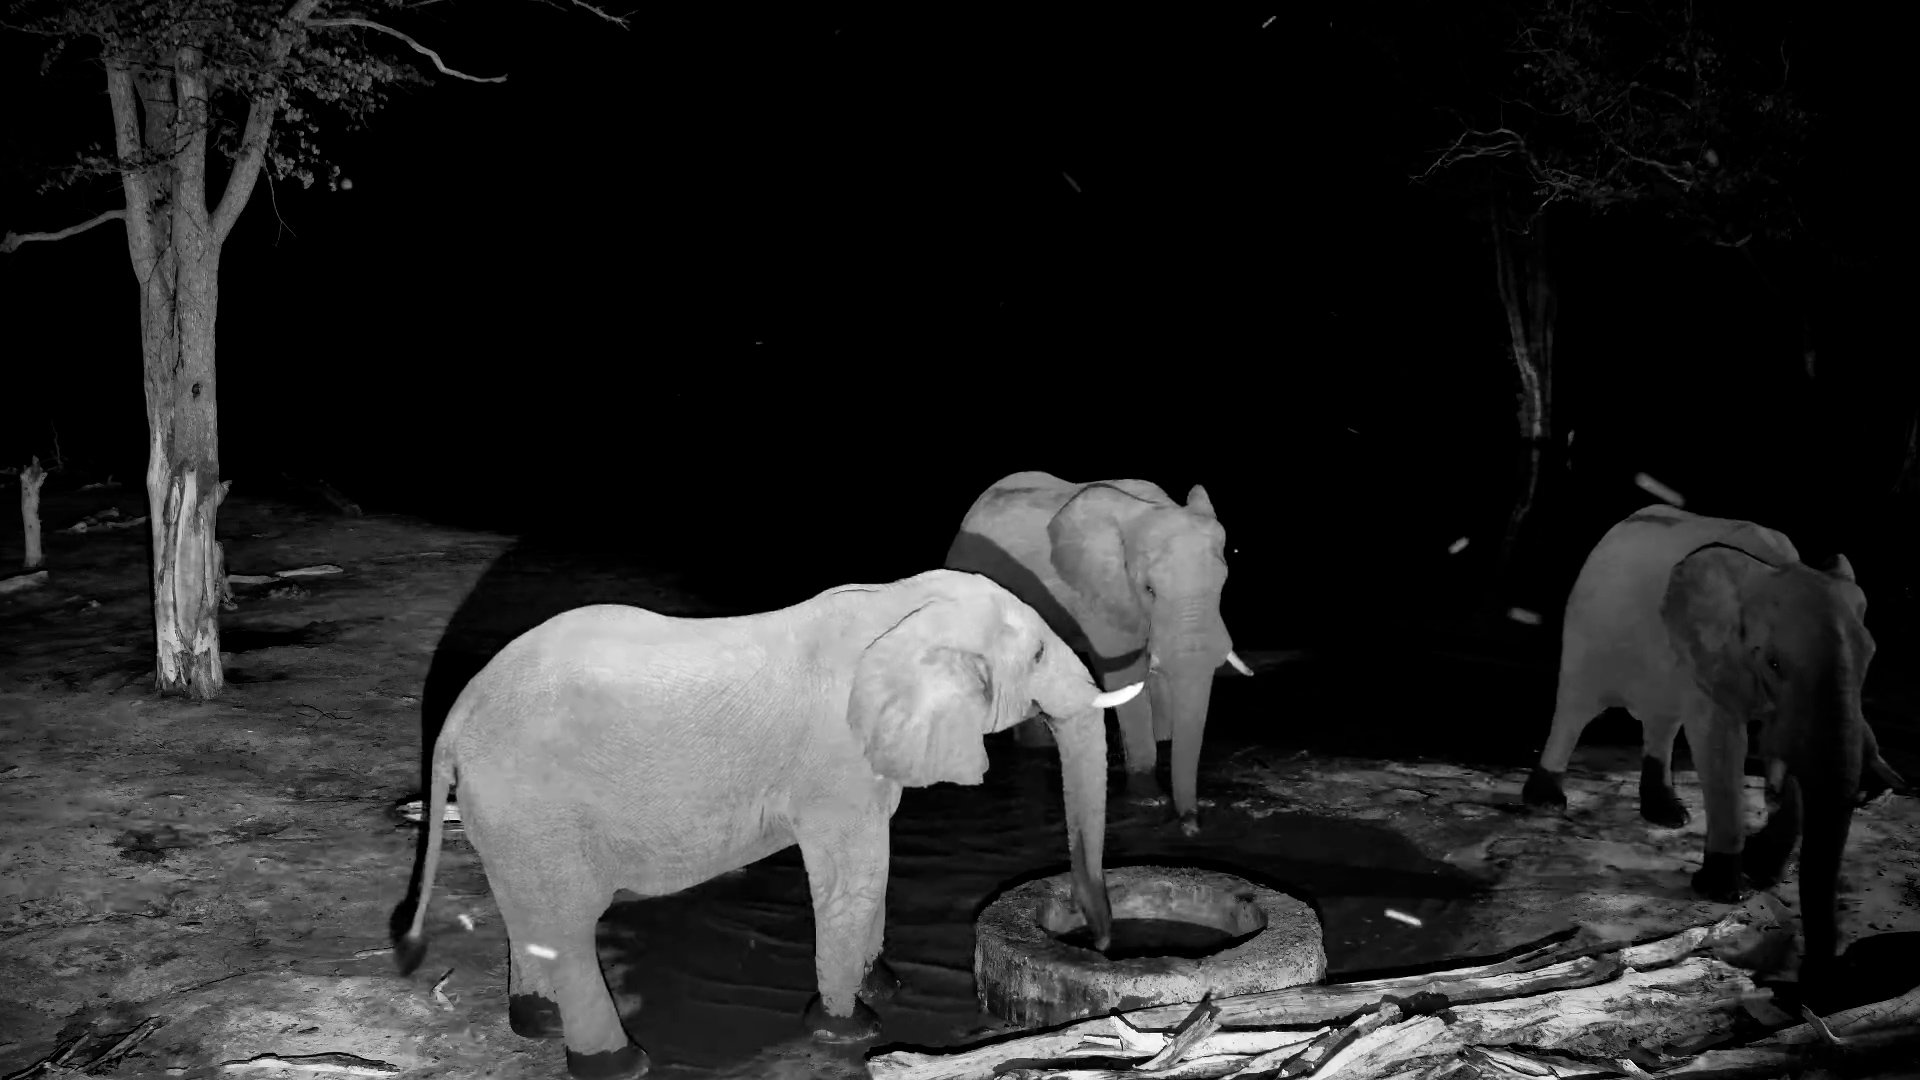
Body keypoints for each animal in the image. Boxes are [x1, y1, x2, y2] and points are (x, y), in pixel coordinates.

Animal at [391, 569, 1142, 1080]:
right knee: (568, 926)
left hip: (510, 813)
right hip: (534, 804)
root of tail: (451, 721)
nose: (1102, 942)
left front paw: (883, 989)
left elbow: (874, 865)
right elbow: (856, 872)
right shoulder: (836, 765)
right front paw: (850, 1028)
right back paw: (618, 1064)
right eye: (1038, 656)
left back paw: (536, 1023)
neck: (898, 605)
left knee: (531, 913)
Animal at [944, 473, 1253, 836]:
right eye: (1149, 589)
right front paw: (1149, 799)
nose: (1191, 827)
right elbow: (1126, 675)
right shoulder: (1101, 593)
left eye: (1223, 584)